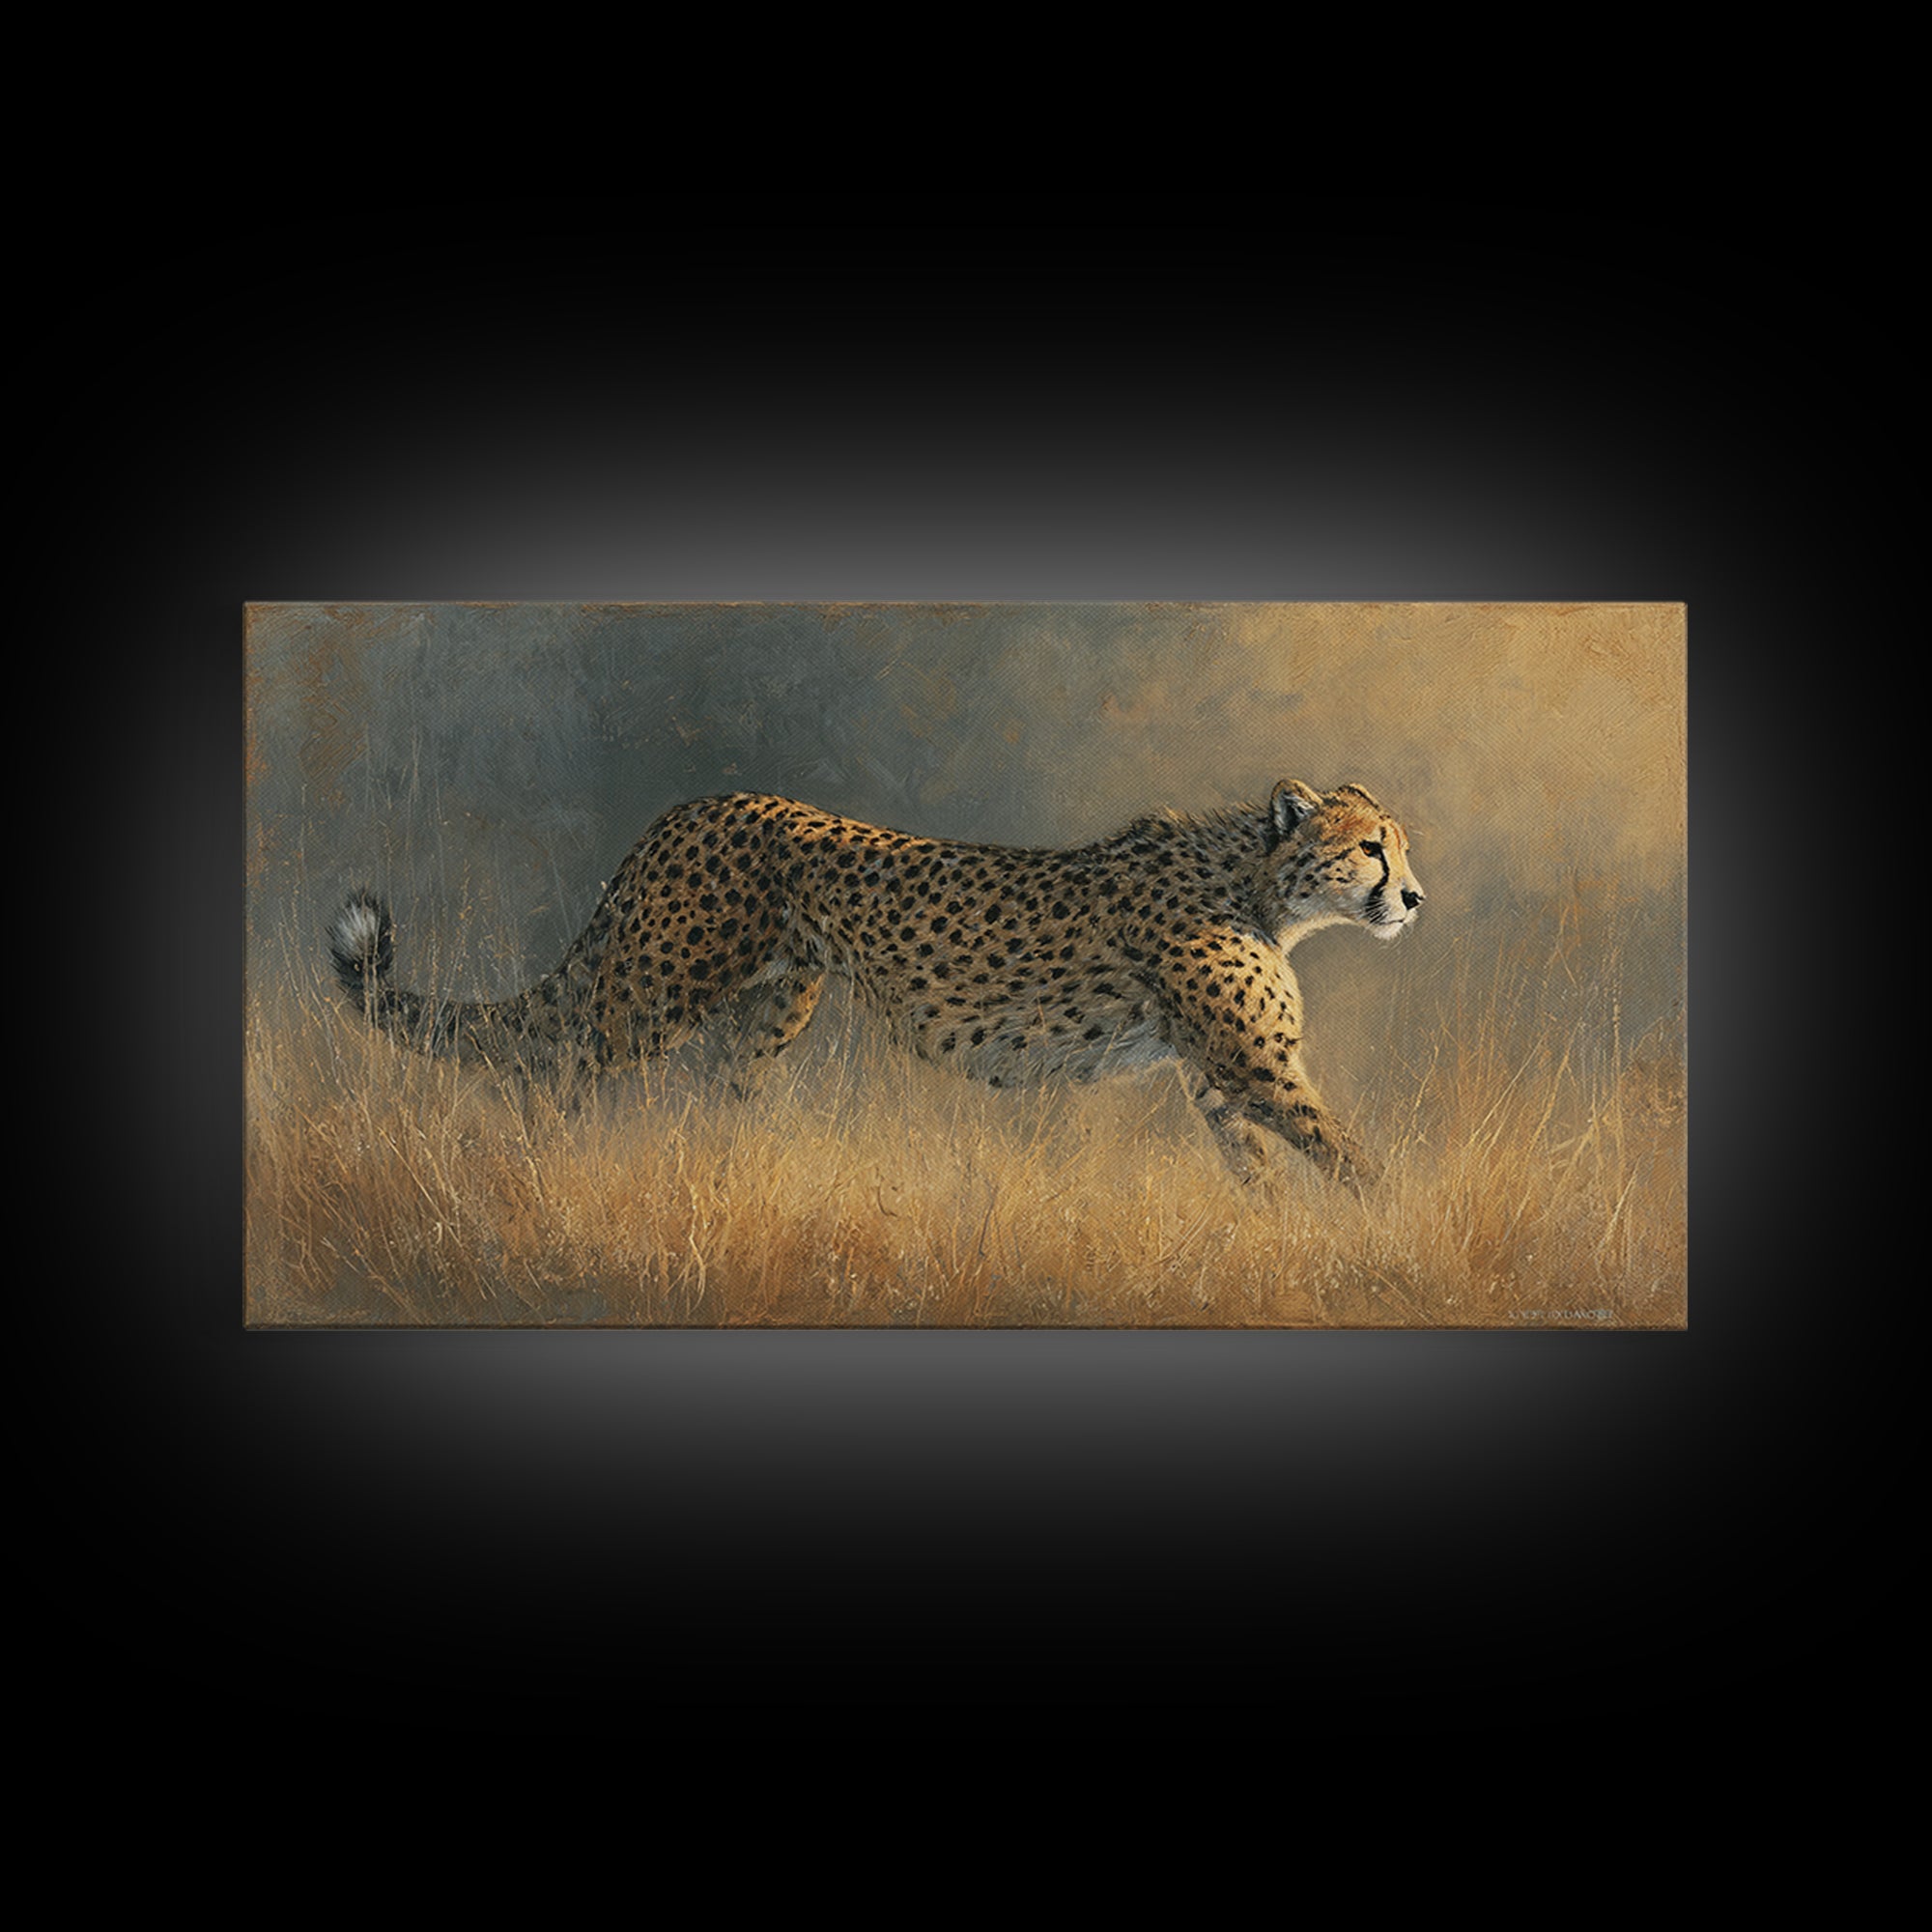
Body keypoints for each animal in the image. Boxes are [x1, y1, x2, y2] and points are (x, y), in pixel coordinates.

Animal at [328, 778, 1424, 1190]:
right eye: (1372, 846)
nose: (1413, 898)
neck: (1257, 881)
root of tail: (693, 802)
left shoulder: (1218, 1076)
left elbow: (1259, 1168)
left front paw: (1280, 1232)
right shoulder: (1256, 1066)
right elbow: (1347, 1155)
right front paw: (1392, 1231)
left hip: (768, 1013)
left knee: (715, 1097)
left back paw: (735, 1176)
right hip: (650, 995)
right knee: (550, 1071)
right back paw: (537, 1173)